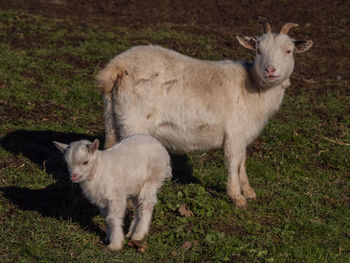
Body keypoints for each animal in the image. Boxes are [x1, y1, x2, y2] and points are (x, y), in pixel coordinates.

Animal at [95, 22, 312, 208]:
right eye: (259, 51)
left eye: (289, 51)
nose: (270, 70)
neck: (253, 86)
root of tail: (117, 66)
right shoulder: (234, 133)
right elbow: (233, 162)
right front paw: (237, 197)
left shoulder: (242, 135)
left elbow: (242, 162)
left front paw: (249, 191)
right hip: (134, 122)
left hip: (112, 117)